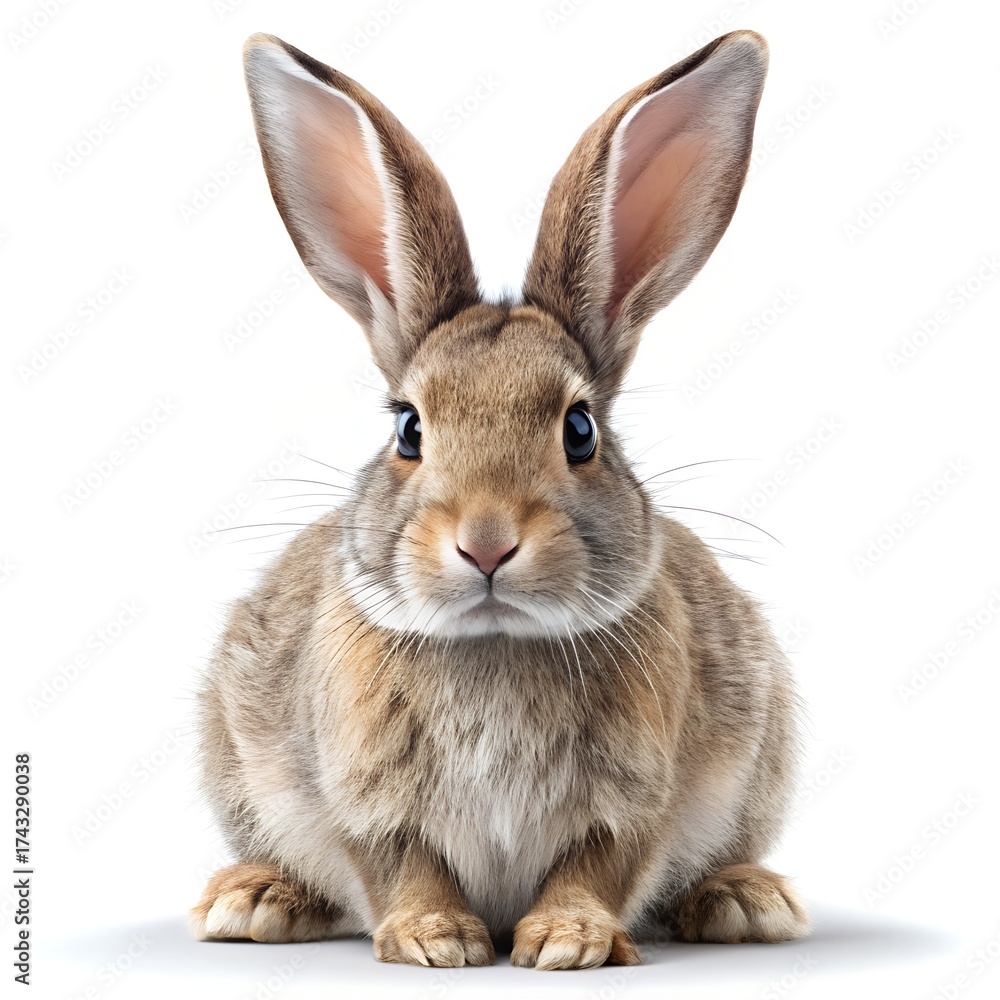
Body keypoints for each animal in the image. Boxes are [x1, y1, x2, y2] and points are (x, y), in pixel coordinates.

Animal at [189, 29, 809, 970]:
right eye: (409, 428)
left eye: (580, 430)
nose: (485, 542)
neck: (495, 643)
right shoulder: (360, 797)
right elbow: (399, 865)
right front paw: (436, 940)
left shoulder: (638, 799)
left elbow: (600, 866)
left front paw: (565, 943)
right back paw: (255, 899)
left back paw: (745, 901)